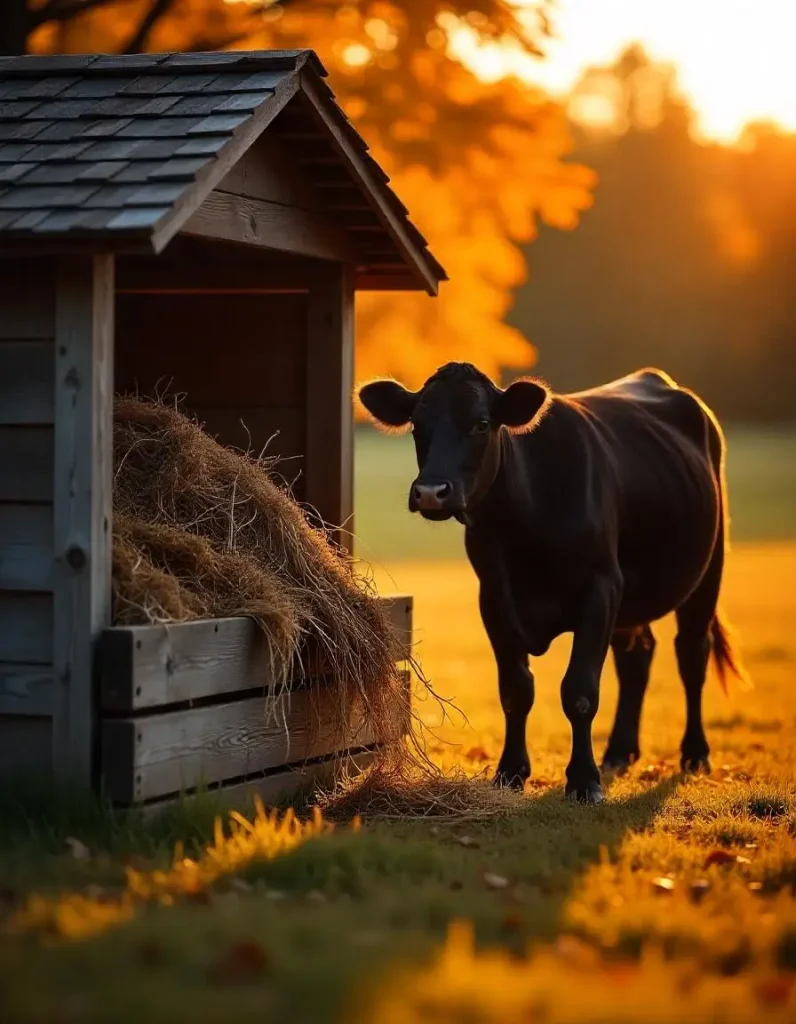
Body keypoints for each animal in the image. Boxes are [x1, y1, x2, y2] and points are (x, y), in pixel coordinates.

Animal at [356, 364, 749, 802]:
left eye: (481, 424)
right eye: (416, 426)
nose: (430, 492)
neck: (522, 527)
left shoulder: (600, 588)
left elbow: (579, 691)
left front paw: (583, 780)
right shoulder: (494, 598)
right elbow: (515, 690)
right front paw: (510, 772)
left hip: (708, 570)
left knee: (692, 655)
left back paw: (695, 753)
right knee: (637, 657)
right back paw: (619, 751)